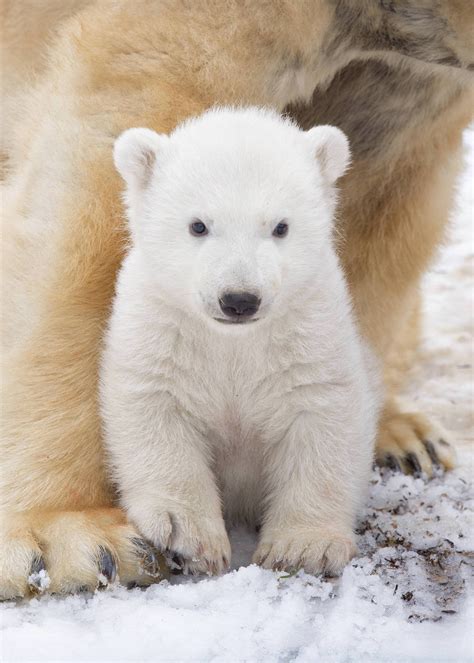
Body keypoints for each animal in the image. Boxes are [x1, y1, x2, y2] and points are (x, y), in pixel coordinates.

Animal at [0, 0, 474, 600]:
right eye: (198, 227)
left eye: (280, 228)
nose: (240, 301)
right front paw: (68, 536)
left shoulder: (415, 81)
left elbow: (381, 186)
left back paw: (408, 437)